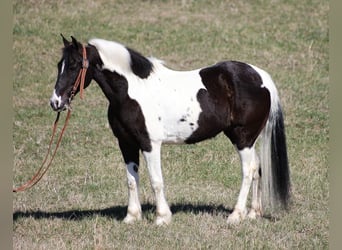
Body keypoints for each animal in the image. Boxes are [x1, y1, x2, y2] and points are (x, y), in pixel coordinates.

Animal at [49, 35, 290, 225]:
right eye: (59, 64)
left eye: (74, 65)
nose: (55, 102)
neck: (132, 90)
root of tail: (260, 77)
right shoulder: (126, 143)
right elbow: (131, 180)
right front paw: (132, 217)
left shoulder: (150, 144)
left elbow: (156, 181)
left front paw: (162, 218)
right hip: (247, 139)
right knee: (258, 168)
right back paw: (253, 214)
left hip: (243, 137)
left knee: (248, 170)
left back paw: (236, 215)